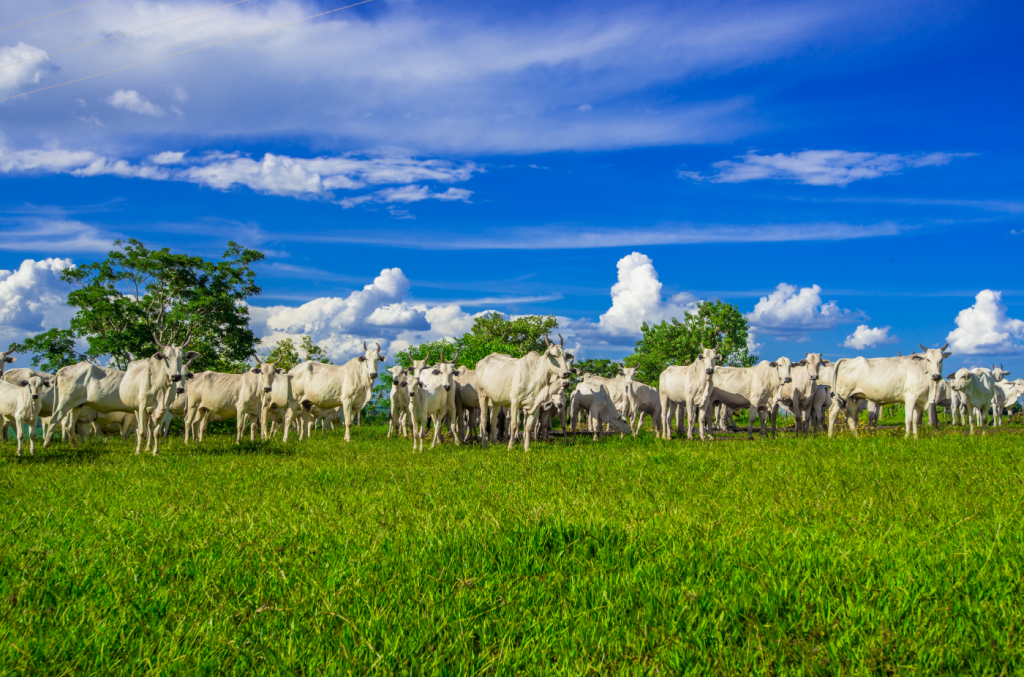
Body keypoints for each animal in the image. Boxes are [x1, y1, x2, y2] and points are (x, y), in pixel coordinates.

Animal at [46, 337, 197, 454]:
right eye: (166, 357)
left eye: (182, 359)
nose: (176, 378)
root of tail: (65, 368)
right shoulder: (141, 409)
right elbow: (141, 430)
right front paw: (140, 450)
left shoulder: (158, 409)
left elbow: (152, 430)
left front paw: (150, 450)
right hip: (65, 403)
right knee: (54, 420)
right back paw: (46, 446)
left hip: (75, 405)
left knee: (69, 426)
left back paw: (74, 446)